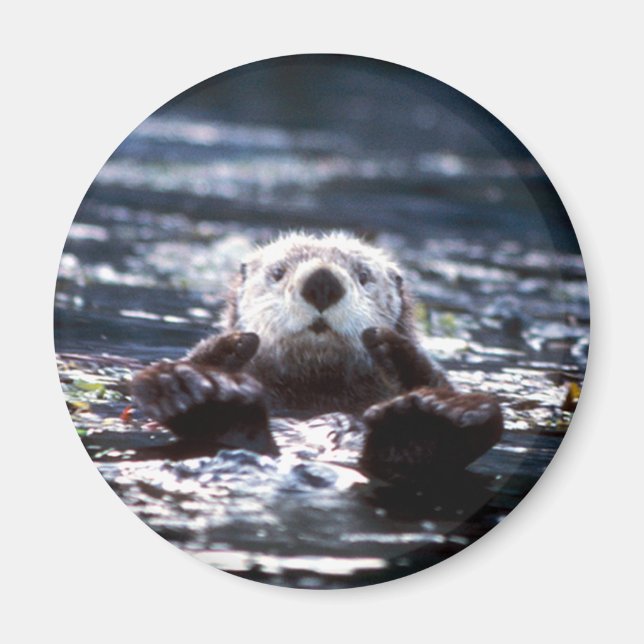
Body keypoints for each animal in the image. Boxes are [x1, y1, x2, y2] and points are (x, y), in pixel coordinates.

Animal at [131, 232, 503, 483]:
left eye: (363, 276)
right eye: (278, 272)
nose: (322, 281)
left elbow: (433, 376)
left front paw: (392, 347)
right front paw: (233, 346)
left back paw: (428, 420)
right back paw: (196, 392)